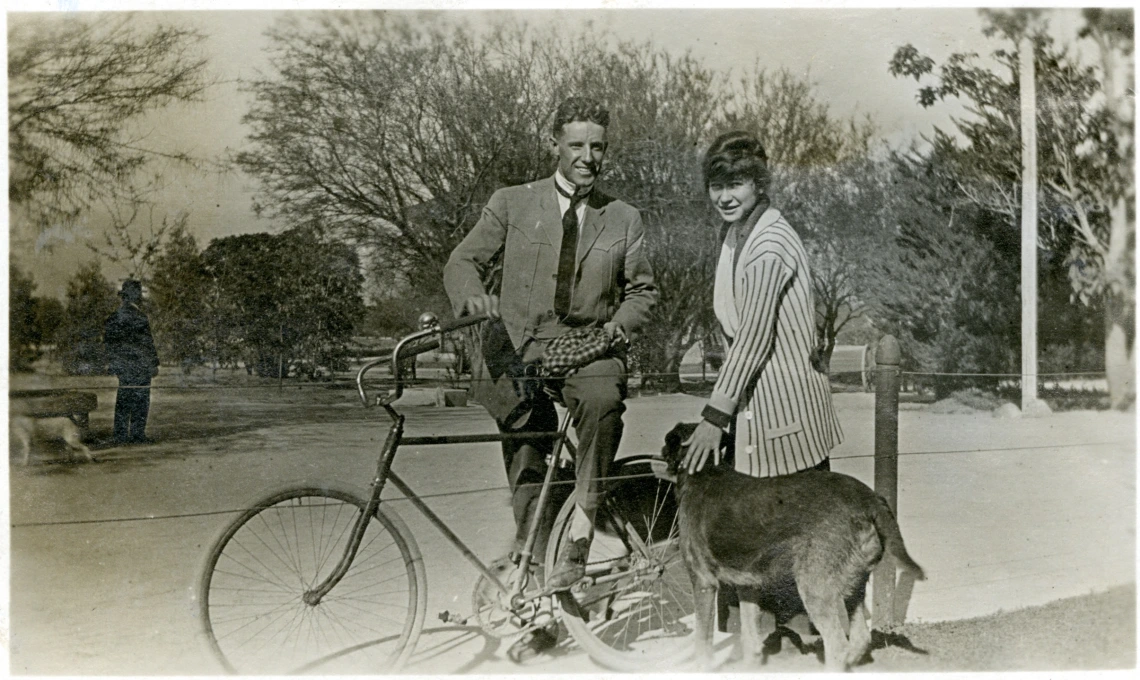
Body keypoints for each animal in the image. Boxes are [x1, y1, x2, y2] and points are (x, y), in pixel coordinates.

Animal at [665, 422, 921, 670]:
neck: (706, 470)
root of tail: (868, 498)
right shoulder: (746, 585)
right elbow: (750, 636)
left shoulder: (703, 582)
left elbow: (702, 643)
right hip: (853, 585)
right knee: (860, 639)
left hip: (814, 588)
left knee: (838, 647)